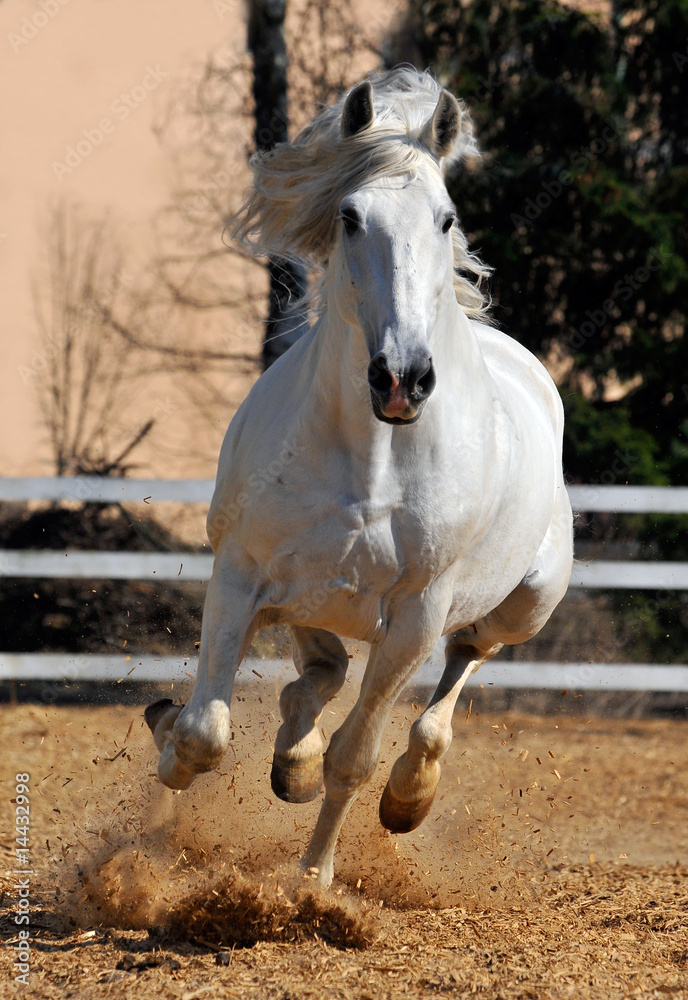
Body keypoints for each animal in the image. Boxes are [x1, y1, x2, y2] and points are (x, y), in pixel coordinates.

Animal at [145, 67, 573, 890]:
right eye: (349, 216)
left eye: (446, 219)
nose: (402, 378)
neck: (372, 459)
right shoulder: (241, 572)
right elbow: (204, 730)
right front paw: (165, 770)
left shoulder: (414, 619)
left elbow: (356, 757)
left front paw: (312, 883)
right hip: (306, 594)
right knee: (319, 671)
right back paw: (290, 760)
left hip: (521, 607)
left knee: (458, 670)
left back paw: (408, 794)